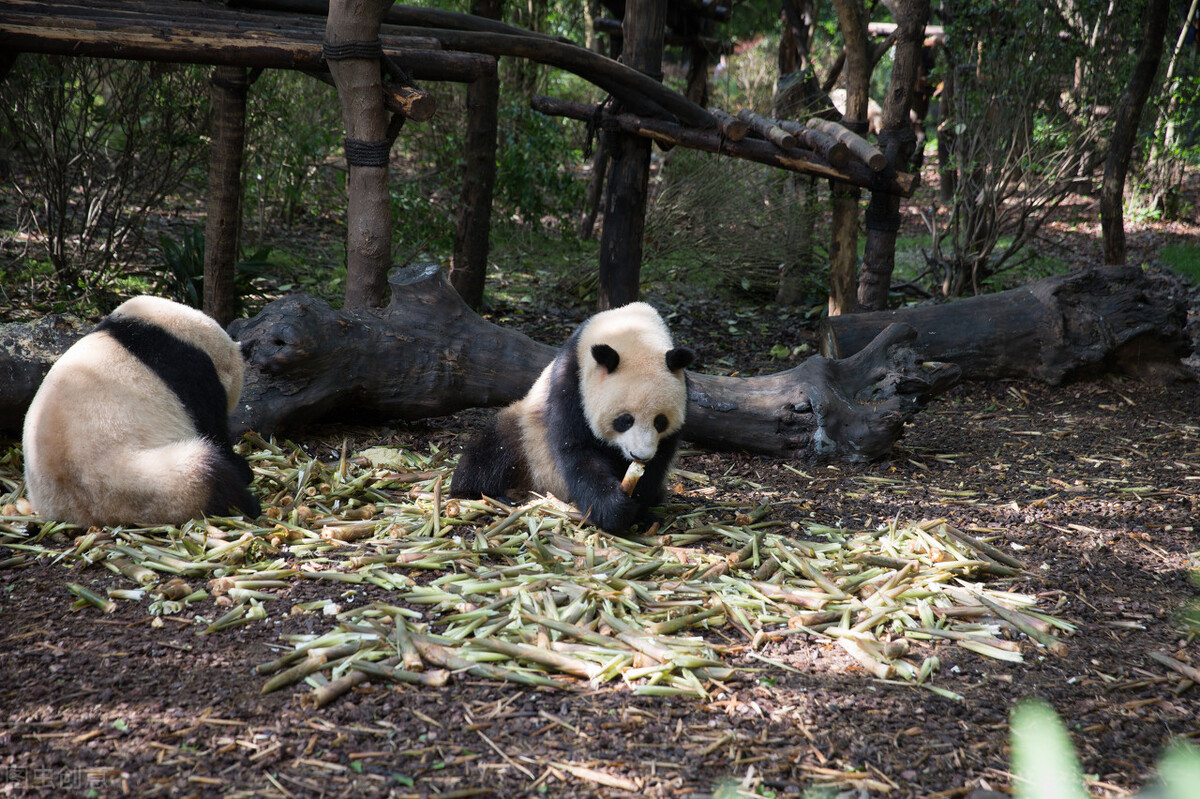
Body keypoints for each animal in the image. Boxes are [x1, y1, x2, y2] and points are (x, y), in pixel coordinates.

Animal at [21, 295, 260, 525]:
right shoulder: (193, 375)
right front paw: (242, 467)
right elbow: (213, 429)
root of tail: (81, 512)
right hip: (136, 482)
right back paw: (247, 504)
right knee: (206, 471)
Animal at [451, 299, 696, 535]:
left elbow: (658, 460)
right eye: (625, 420)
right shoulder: (570, 382)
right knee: (491, 449)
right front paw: (614, 509)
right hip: (527, 437)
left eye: (660, 421)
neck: (632, 330)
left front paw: (639, 511)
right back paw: (479, 493)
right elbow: (577, 449)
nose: (640, 455)